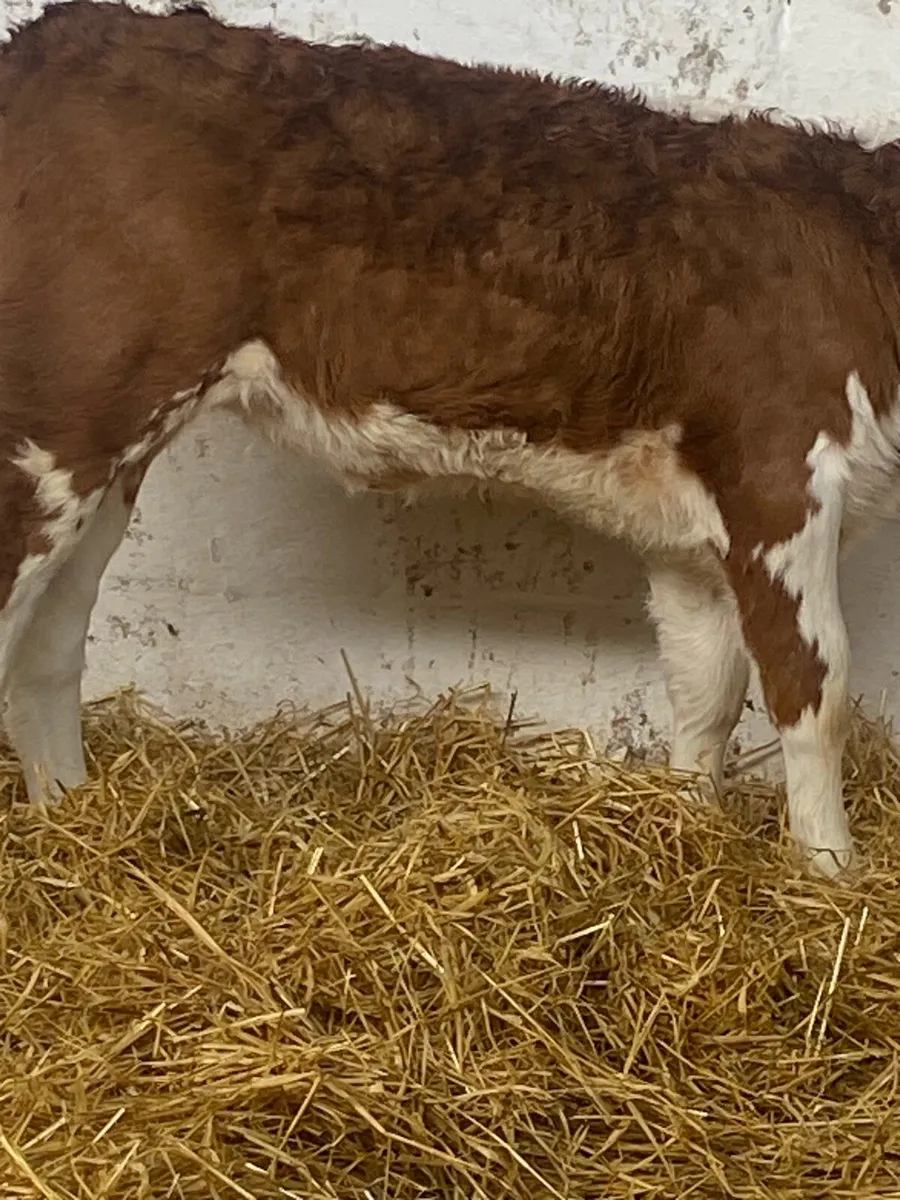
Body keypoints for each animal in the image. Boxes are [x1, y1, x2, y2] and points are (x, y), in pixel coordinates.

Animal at [0, 0, 894, 877]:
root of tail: (58, 35)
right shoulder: (779, 477)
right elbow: (812, 691)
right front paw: (831, 875)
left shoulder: (689, 536)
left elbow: (705, 693)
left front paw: (685, 832)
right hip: (60, 426)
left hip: (108, 449)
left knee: (51, 641)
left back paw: (70, 820)